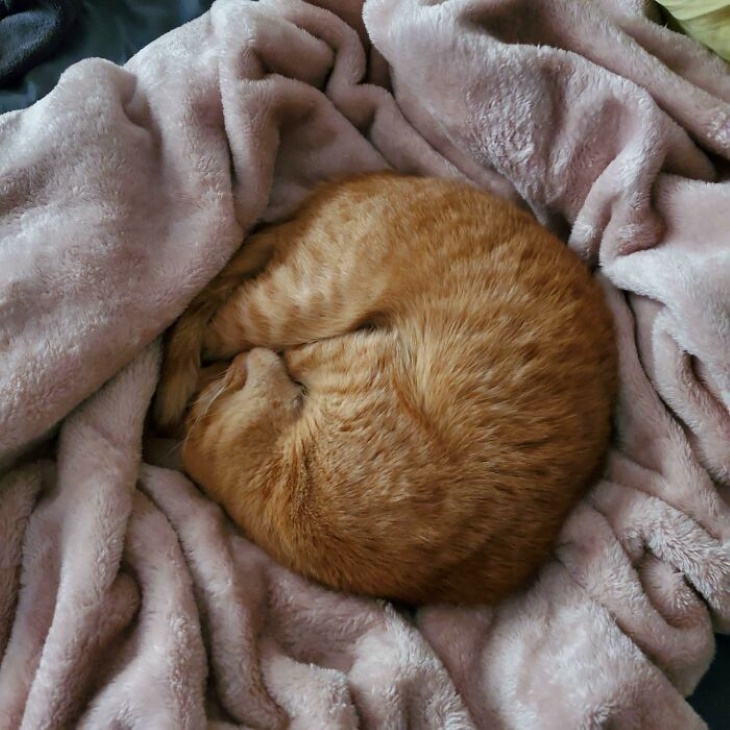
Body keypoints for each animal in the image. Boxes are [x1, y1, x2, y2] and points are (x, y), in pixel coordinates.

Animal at [152, 171, 616, 604]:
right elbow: (301, 356)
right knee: (209, 326)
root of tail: (341, 186)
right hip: (287, 307)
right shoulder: (354, 356)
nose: (238, 367)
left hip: (297, 303)